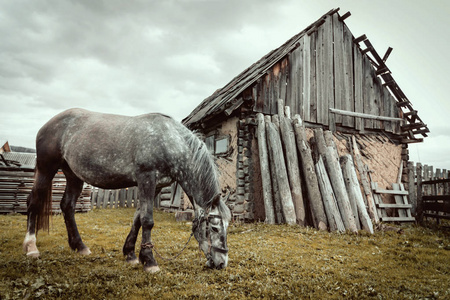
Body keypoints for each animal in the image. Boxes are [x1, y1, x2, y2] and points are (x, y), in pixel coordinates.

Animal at [22, 107, 230, 272]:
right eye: (213, 227)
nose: (221, 263)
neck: (169, 140)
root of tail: (50, 123)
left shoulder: (155, 186)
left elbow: (137, 218)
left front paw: (131, 254)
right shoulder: (146, 179)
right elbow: (147, 220)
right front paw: (150, 261)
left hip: (74, 176)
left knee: (68, 206)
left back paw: (80, 246)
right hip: (46, 169)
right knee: (34, 202)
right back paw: (31, 247)